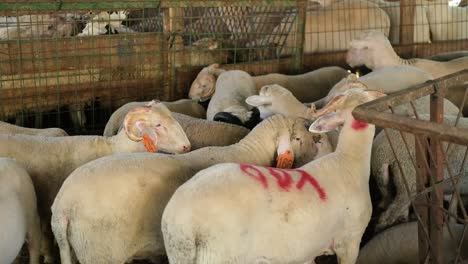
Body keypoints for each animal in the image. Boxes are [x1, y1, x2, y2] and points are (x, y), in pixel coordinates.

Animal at [52, 114, 322, 264]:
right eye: (298, 139)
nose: (317, 148)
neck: (249, 152)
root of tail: (63, 206)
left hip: (74, 248)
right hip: (100, 253)